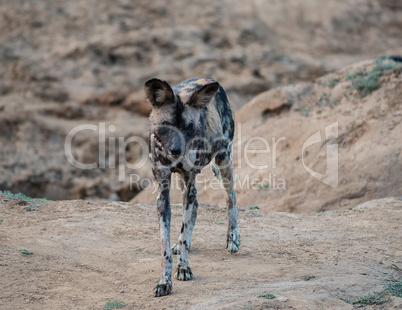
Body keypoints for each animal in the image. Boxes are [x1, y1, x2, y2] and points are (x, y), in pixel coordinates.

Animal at [144, 77, 239, 296]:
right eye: (167, 124)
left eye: (188, 126)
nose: (177, 150)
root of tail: (210, 79)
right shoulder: (163, 193)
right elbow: (165, 248)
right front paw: (165, 281)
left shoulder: (189, 183)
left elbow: (185, 233)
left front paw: (183, 267)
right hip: (186, 181)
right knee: (195, 208)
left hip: (223, 161)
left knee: (231, 196)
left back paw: (232, 237)